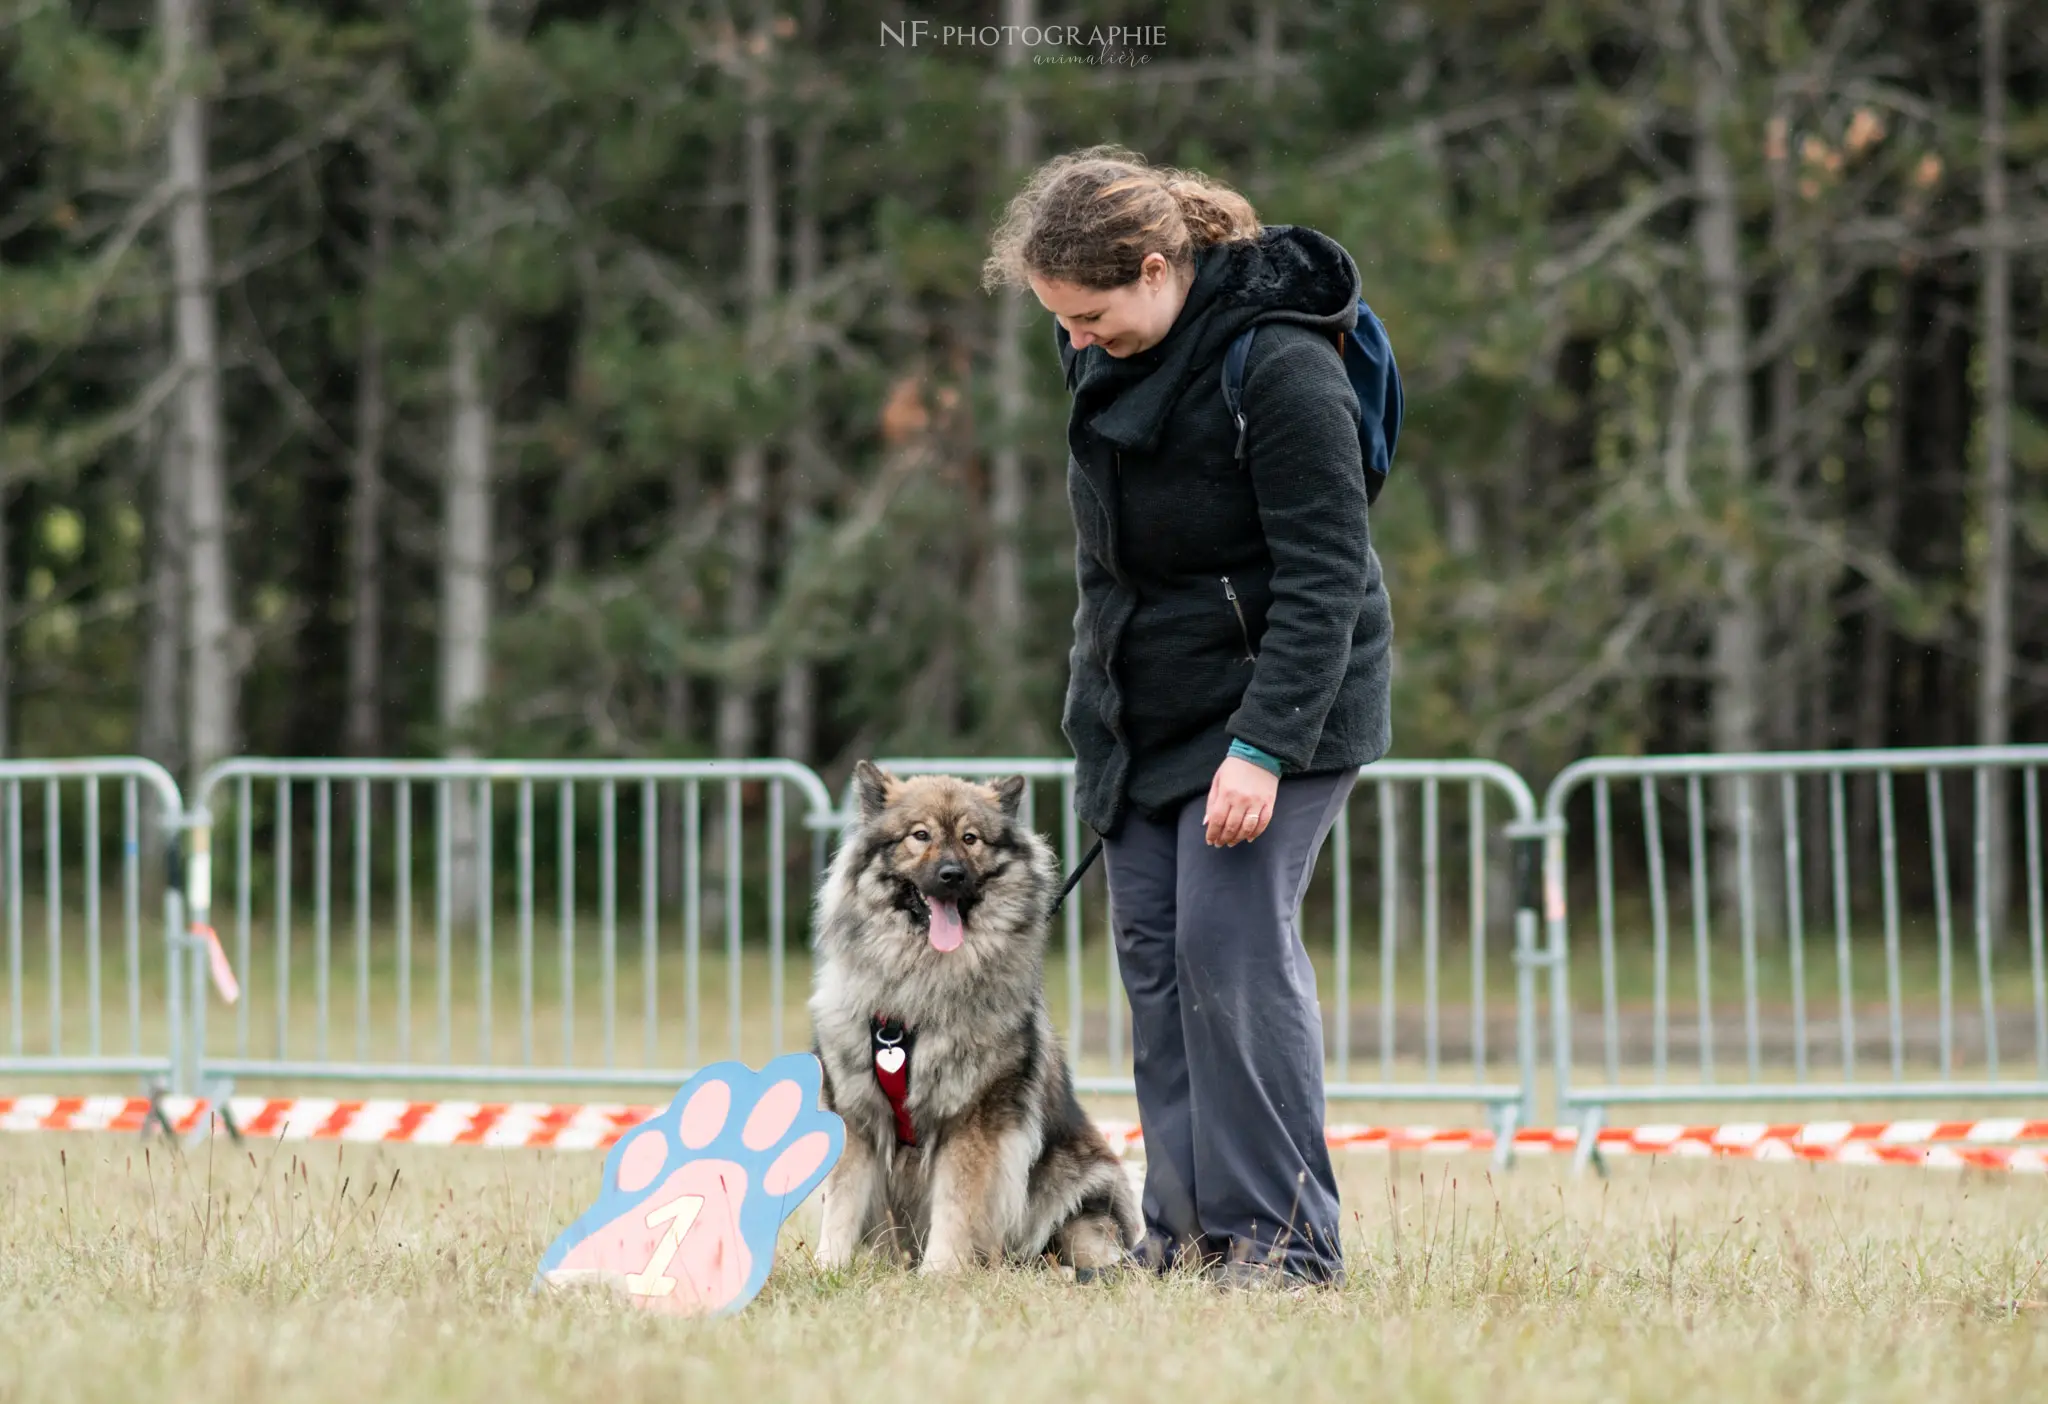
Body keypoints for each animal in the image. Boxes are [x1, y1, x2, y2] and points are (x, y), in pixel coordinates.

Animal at [806, 765, 1146, 1285]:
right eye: (920, 835)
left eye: (971, 839)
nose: (952, 875)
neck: (917, 991)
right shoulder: (858, 1115)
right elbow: (841, 1205)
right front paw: (829, 1270)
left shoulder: (971, 1122)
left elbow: (956, 1205)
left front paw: (940, 1273)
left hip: (1081, 1191)